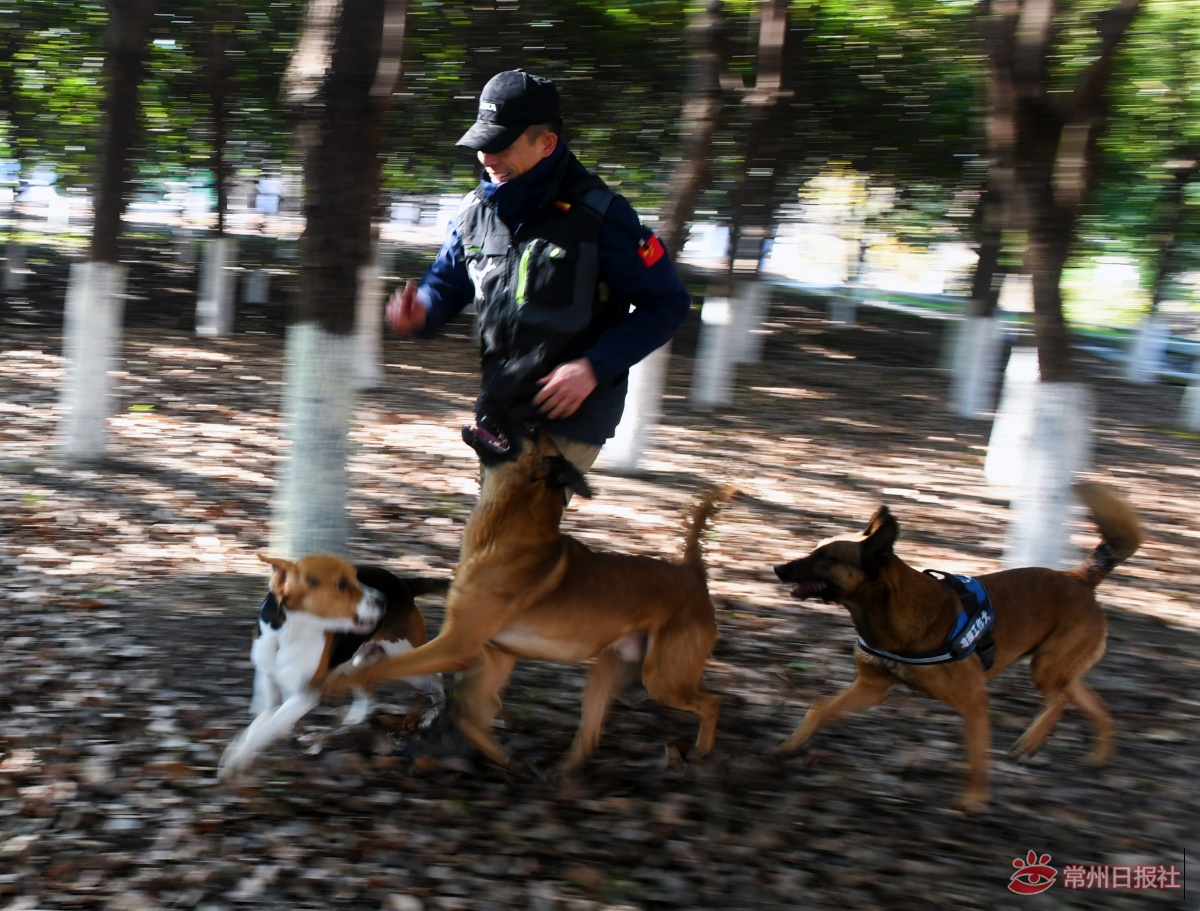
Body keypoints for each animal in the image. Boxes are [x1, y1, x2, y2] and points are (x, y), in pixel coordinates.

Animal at [218, 552, 448, 782]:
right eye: (341, 584)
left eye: (356, 577)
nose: (383, 599)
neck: (290, 632)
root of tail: (404, 583)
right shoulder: (267, 675)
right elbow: (264, 715)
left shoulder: (307, 693)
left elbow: (269, 723)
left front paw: (239, 756)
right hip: (354, 663)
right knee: (369, 692)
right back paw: (355, 718)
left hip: (405, 661)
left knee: (437, 677)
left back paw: (432, 715)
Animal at [321, 412, 729, 768]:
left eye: (531, 426)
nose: (492, 403)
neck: (504, 537)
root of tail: (693, 573)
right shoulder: (497, 656)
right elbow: (470, 715)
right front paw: (501, 754)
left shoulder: (456, 645)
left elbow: (379, 670)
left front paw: (338, 684)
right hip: (607, 670)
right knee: (589, 736)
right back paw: (557, 774)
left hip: (663, 677)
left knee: (712, 702)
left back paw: (701, 750)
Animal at [772, 484, 1137, 811]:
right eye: (816, 550)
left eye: (825, 557)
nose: (778, 568)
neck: (888, 614)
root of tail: (1078, 578)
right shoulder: (871, 688)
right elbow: (819, 707)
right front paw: (791, 744)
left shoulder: (974, 702)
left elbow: (976, 757)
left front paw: (974, 800)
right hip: (1063, 670)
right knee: (1096, 706)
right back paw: (1099, 755)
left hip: (1046, 668)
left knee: (1058, 701)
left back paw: (1031, 742)